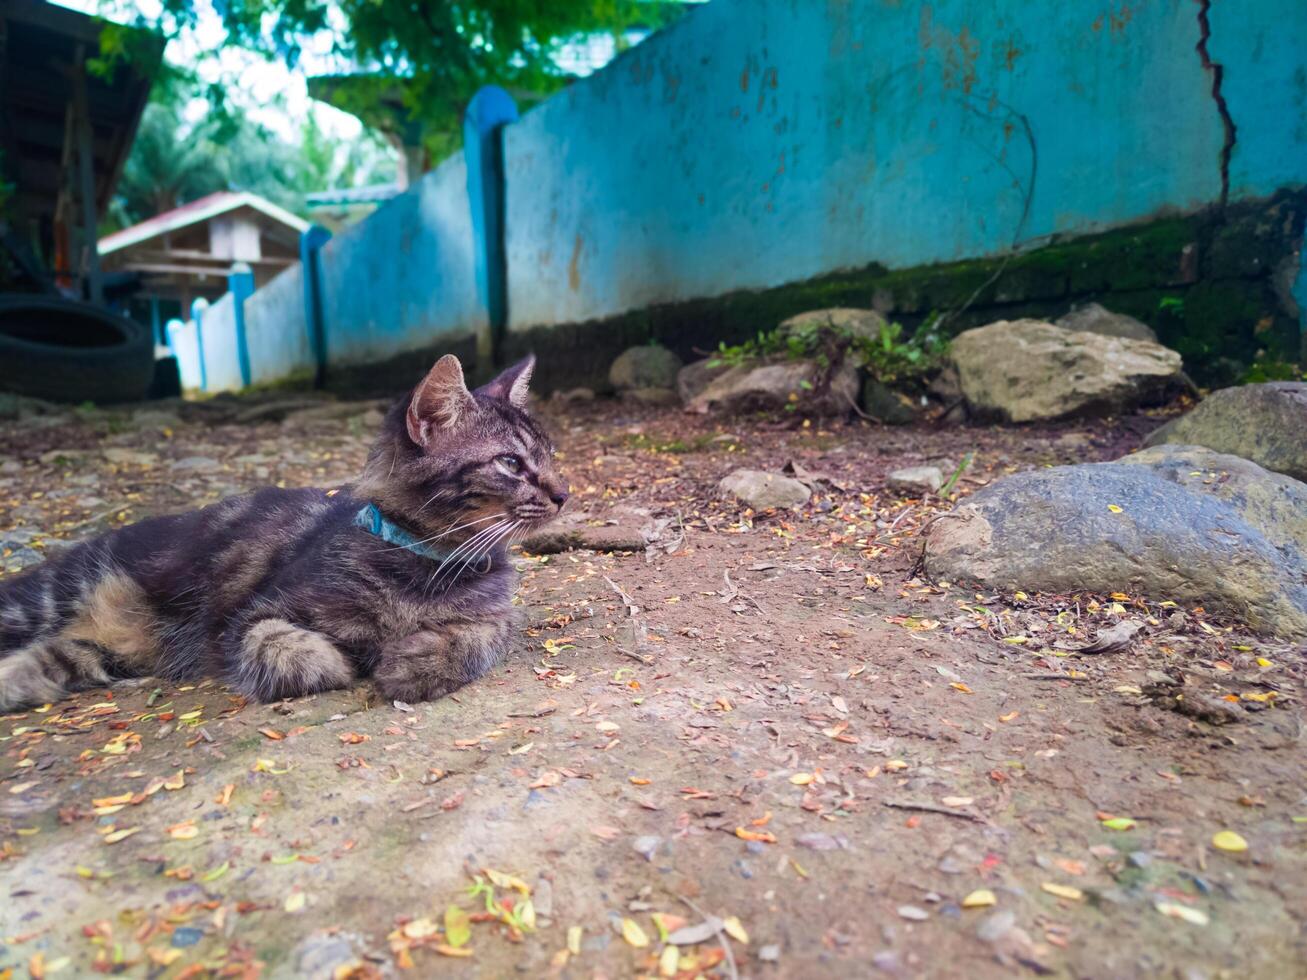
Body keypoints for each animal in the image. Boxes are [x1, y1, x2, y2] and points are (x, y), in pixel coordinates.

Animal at [0, 352, 567, 716]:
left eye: (549, 456)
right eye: (511, 463)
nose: (565, 494)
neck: (430, 565)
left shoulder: (496, 616)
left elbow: (482, 637)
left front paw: (417, 660)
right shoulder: (250, 616)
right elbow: (281, 645)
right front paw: (339, 661)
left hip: (106, 652)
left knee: (53, 659)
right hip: (43, 601)